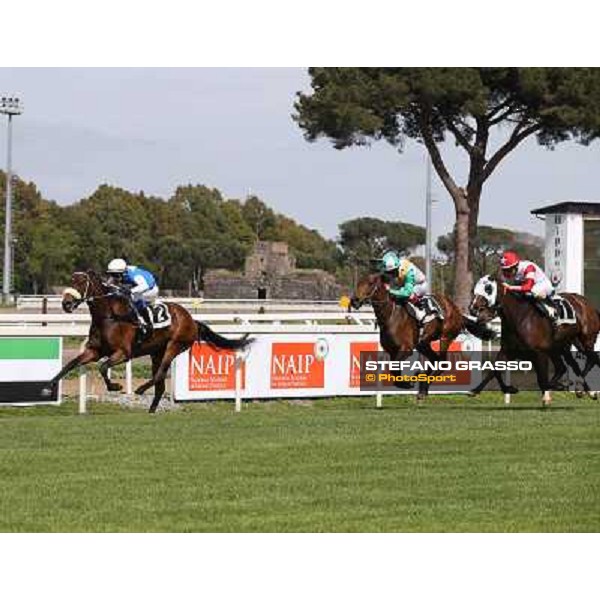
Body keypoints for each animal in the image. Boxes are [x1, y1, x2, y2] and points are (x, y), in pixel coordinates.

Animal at [44, 270, 251, 412]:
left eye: (81, 282)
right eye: (70, 281)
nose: (66, 304)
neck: (109, 317)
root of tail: (191, 319)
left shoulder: (123, 353)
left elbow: (103, 367)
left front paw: (115, 386)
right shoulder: (94, 351)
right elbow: (69, 364)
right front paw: (48, 387)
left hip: (174, 346)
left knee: (159, 375)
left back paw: (141, 389)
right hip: (156, 352)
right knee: (160, 384)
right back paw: (150, 410)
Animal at [350, 274, 494, 400]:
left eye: (370, 283)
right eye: (358, 283)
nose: (354, 301)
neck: (390, 316)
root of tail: (457, 312)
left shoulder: (406, 349)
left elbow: (394, 370)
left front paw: (408, 382)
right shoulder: (392, 351)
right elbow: (395, 372)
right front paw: (409, 381)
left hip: (445, 337)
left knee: (442, 362)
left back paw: (423, 384)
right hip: (423, 343)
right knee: (434, 359)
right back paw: (423, 386)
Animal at [468, 274, 600, 400]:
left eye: (488, 288)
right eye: (474, 289)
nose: (472, 308)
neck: (519, 317)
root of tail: (588, 304)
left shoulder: (539, 353)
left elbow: (541, 379)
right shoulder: (508, 351)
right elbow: (494, 371)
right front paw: (478, 390)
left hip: (585, 341)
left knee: (591, 359)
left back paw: (583, 389)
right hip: (562, 346)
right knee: (568, 366)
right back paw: (579, 388)